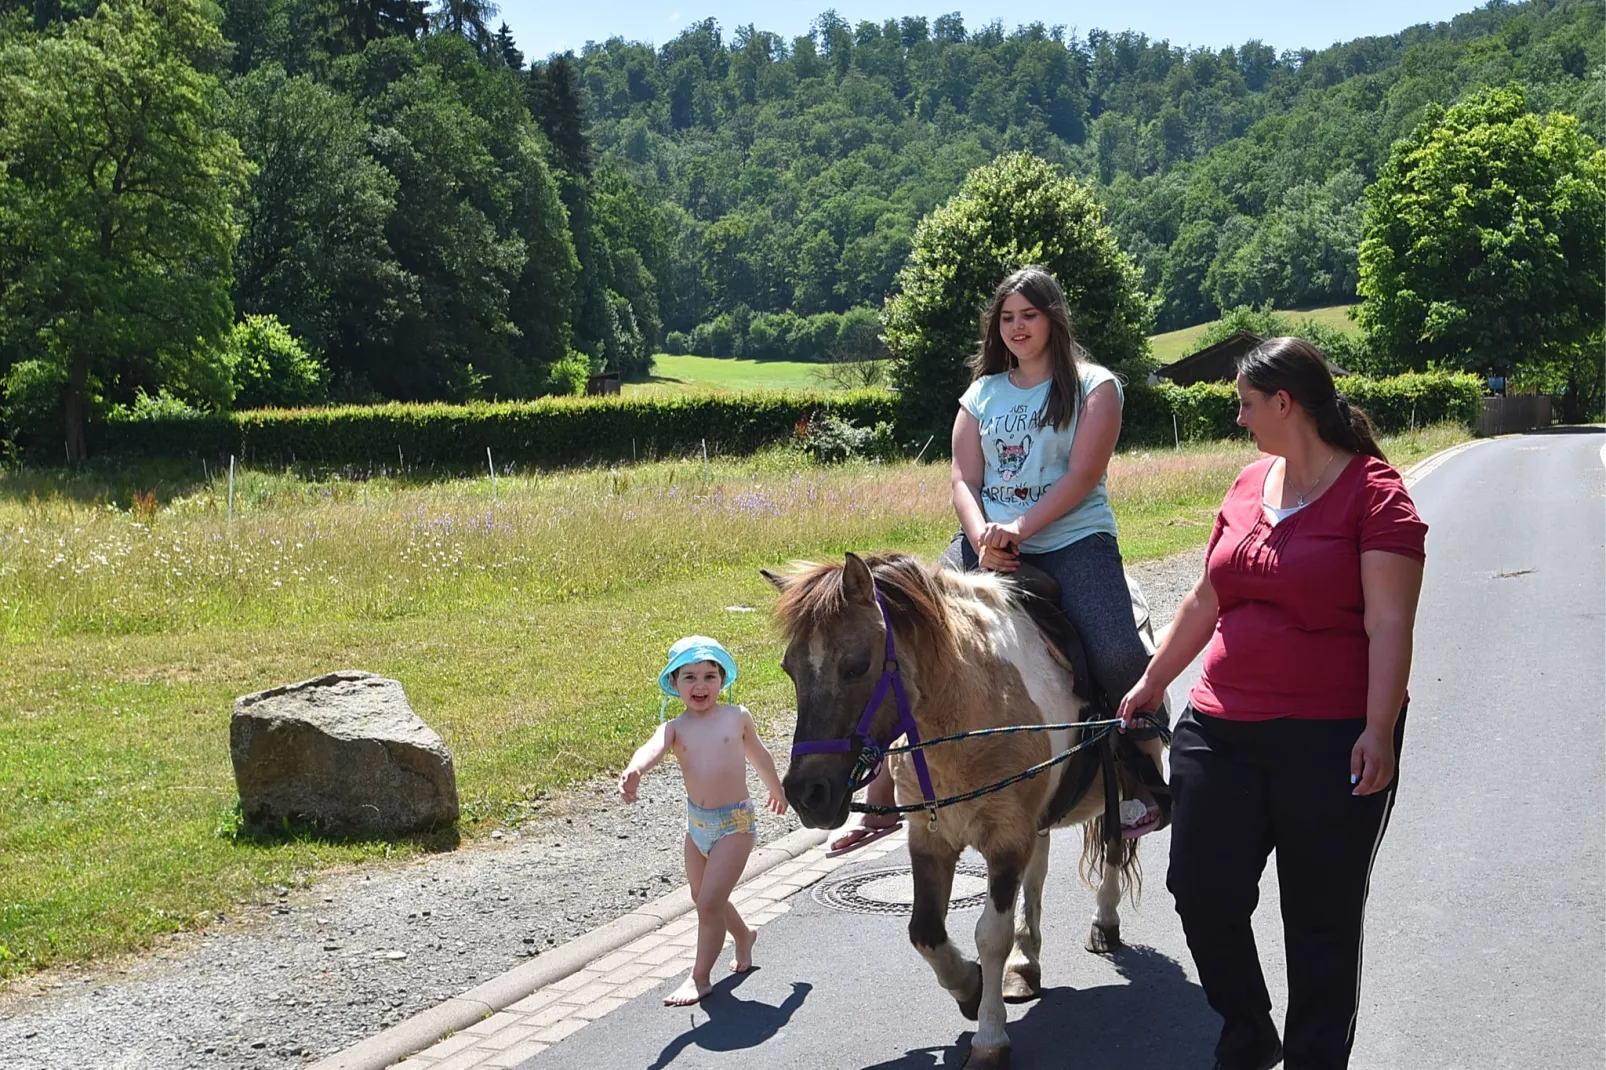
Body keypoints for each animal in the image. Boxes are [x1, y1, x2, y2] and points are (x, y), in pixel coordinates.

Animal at [764, 549, 1143, 1066]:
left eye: (856, 665)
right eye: (789, 669)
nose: (807, 794)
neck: (972, 710)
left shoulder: (1006, 841)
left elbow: (990, 935)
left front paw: (989, 1038)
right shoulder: (931, 839)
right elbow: (924, 930)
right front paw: (969, 989)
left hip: (1117, 789)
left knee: (1114, 847)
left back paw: (1104, 920)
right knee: (1038, 876)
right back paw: (1025, 963)